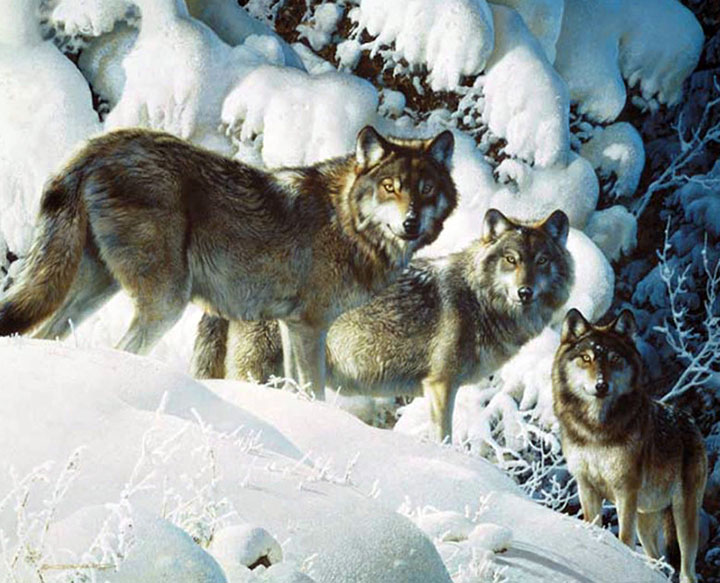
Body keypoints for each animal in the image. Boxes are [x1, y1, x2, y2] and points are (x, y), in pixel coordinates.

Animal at [0, 126, 457, 395]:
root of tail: (102, 143)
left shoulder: (293, 326)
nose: (411, 222)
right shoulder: (310, 326)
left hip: (92, 292)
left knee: (42, 334)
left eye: (427, 189)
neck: (346, 221)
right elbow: (314, 392)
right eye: (390, 186)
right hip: (166, 304)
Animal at [193, 208, 574, 442]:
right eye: (511, 259)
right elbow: (445, 438)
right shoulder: (440, 384)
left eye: (542, 260)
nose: (525, 292)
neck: (478, 300)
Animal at [552, 309, 708, 583]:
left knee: (687, 571)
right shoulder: (586, 486)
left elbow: (624, 537)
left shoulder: (625, 489)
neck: (596, 431)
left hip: (683, 516)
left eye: (614, 358)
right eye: (586, 358)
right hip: (646, 519)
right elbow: (594, 524)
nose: (601, 385)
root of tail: (689, 421)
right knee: (657, 560)